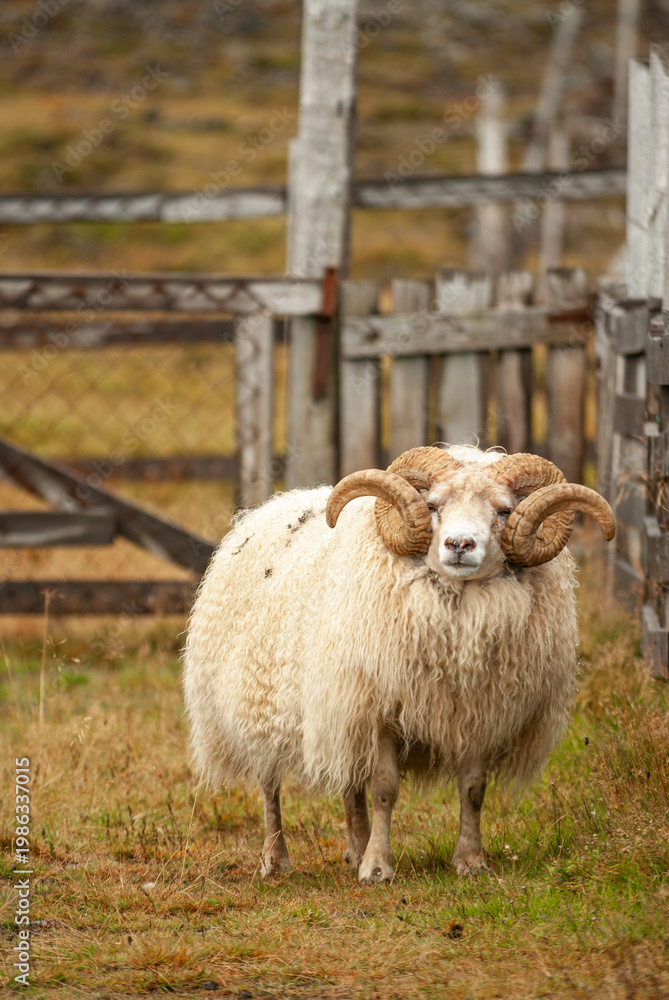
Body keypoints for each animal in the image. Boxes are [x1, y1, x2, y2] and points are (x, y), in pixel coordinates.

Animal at [183, 445, 614, 883]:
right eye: (432, 505)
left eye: (504, 510)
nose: (460, 544)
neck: (459, 616)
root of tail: (270, 506)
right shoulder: (382, 711)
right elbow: (385, 790)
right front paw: (377, 868)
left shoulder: (478, 712)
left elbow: (474, 789)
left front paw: (470, 860)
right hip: (261, 707)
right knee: (270, 786)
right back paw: (276, 859)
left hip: (342, 709)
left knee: (349, 781)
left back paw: (354, 848)